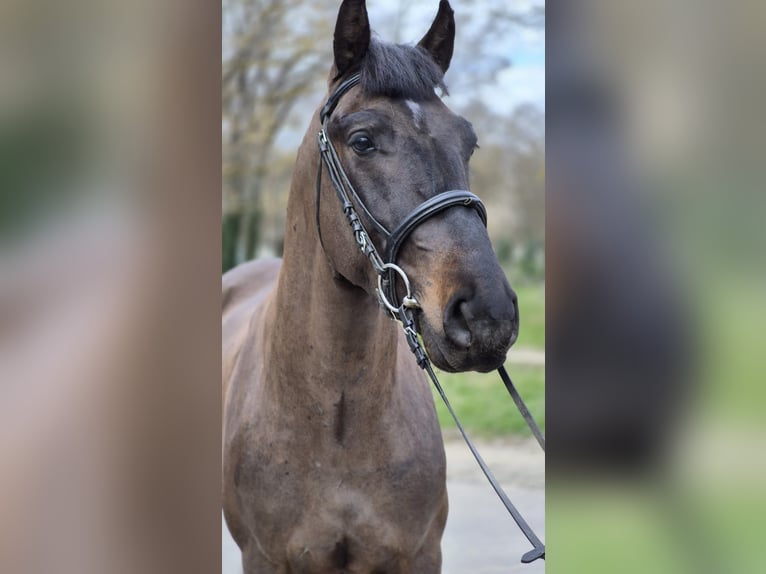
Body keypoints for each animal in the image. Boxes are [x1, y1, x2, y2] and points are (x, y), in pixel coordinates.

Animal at [222, 1, 519, 571]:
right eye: (363, 140)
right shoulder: (264, 558)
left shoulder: (420, 554)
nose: (486, 316)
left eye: (468, 142)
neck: (337, 423)